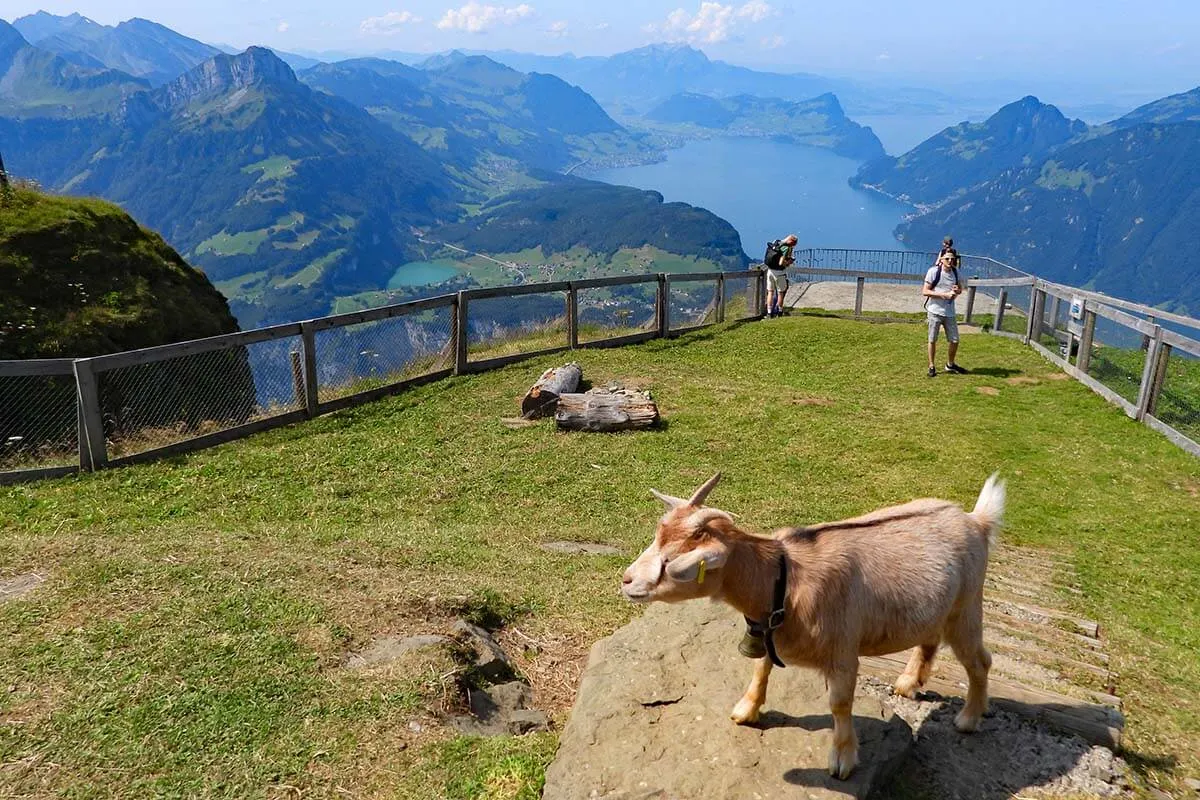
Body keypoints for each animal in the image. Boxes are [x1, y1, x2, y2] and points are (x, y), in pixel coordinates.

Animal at [619, 472, 1003, 777]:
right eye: (656, 539)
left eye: (673, 562)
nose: (626, 580)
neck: (783, 579)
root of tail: (975, 520)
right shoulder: (766, 632)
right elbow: (761, 669)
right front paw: (745, 711)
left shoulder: (844, 650)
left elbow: (839, 704)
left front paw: (842, 760)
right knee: (930, 638)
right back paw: (908, 683)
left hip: (966, 608)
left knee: (980, 661)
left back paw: (968, 719)